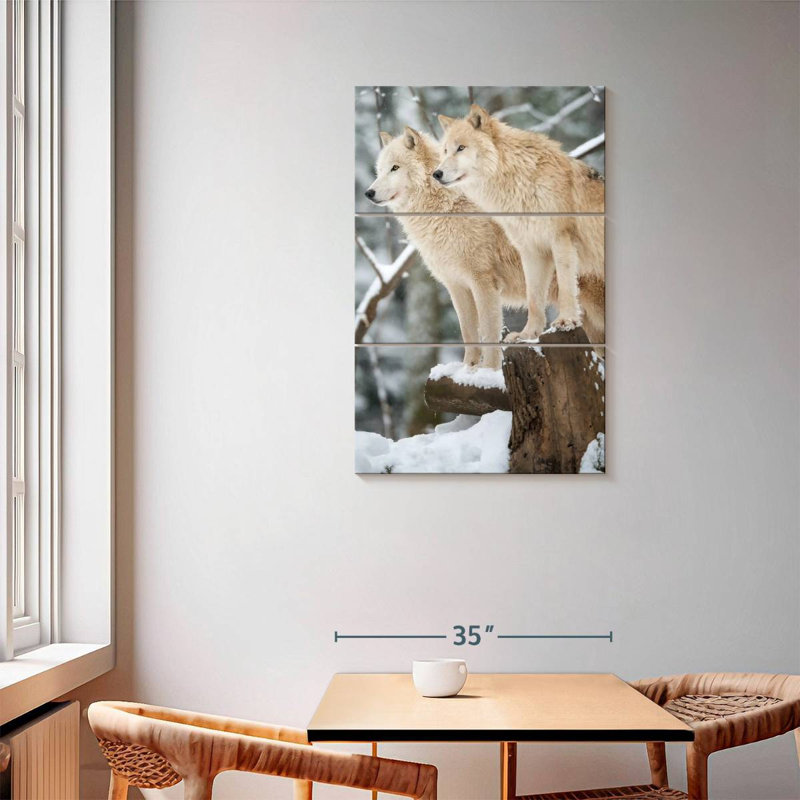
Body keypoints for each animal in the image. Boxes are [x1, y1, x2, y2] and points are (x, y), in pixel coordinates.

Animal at [364, 126, 527, 370]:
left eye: (395, 168)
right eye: (380, 171)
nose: (369, 193)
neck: (448, 206)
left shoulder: (483, 282)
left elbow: (488, 332)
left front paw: (488, 371)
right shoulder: (456, 285)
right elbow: (468, 333)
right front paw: (468, 369)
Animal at [434, 105, 605, 342]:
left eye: (461, 148)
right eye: (444, 151)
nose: (436, 173)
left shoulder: (561, 239)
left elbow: (565, 285)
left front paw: (566, 321)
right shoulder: (531, 249)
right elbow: (533, 298)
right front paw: (528, 334)